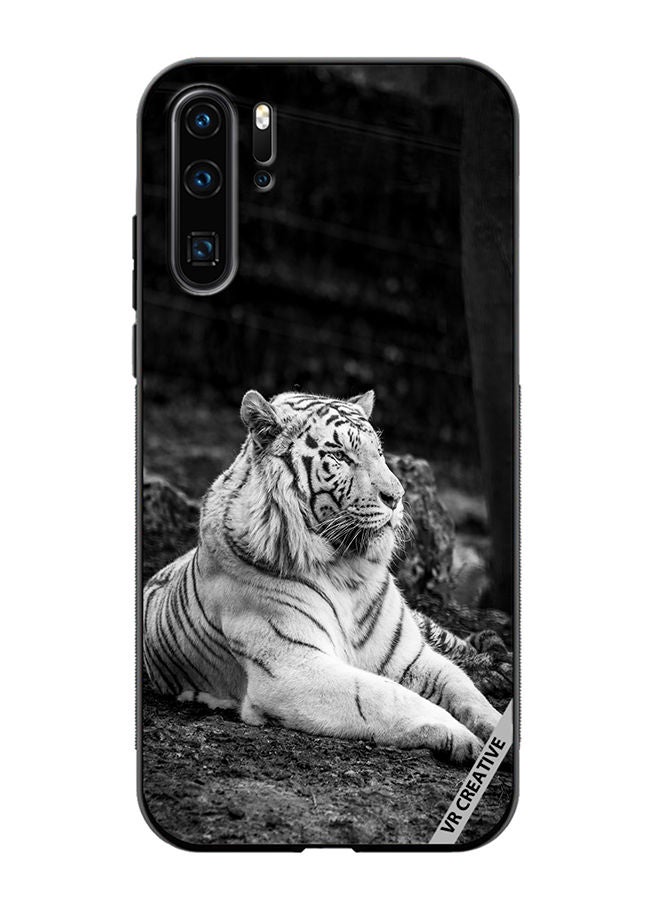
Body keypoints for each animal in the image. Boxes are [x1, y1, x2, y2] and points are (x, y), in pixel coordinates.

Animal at [143, 389, 501, 764]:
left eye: (380, 453)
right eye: (340, 455)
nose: (397, 497)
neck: (348, 571)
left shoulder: (408, 655)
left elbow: (462, 686)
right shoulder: (293, 668)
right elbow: (386, 695)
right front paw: (462, 738)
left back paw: (495, 664)